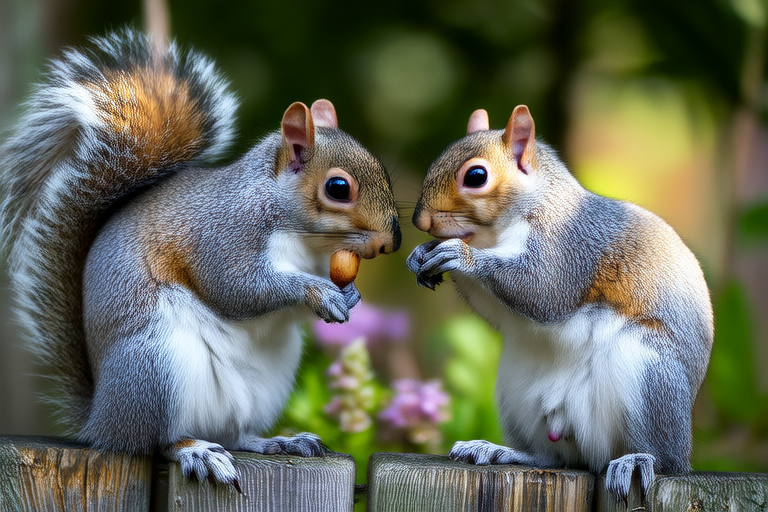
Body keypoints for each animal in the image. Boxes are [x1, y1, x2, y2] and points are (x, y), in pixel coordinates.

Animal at [0, 30, 401, 488]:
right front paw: (317, 291)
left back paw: (277, 442)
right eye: (338, 188)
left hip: (263, 384)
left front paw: (348, 294)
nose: (392, 240)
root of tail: (101, 419)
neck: (303, 239)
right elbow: (237, 288)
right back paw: (196, 451)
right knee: (155, 441)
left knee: (236, 432)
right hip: (155, 367)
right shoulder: (224, 235)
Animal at [406, 105, 713, 500]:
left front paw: (461, 255)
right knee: (549, 457)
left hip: (650, 374)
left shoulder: (569, 247)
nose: (420, 220)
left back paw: (639, 460)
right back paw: (499, 450)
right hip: (516, 392)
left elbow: (544, 291)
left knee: (664, 459)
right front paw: (421, 253)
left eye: (475, 176)